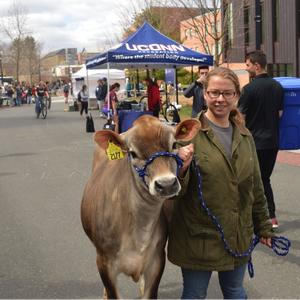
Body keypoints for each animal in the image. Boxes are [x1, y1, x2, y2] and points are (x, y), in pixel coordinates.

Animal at [81, 115, 200, 300]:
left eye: (174, 145)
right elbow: (112, 292)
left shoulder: (157, 259)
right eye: (132, 153)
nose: (166, 184)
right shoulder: (104, 262)